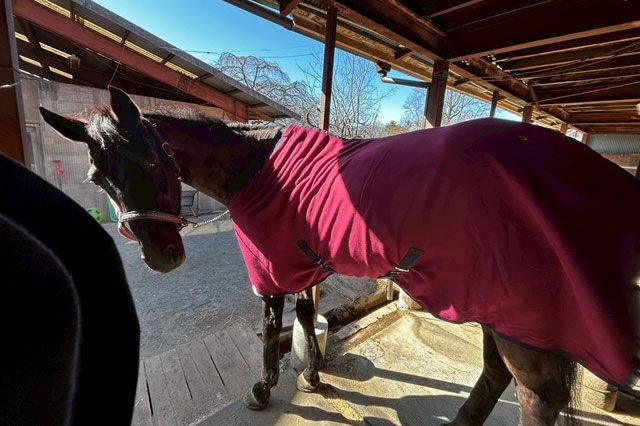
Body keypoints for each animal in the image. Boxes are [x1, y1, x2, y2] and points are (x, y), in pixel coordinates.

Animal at [40, 87, 640, 425]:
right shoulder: (307, 261)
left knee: (535, 397)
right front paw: (312, 375)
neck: (258, 168)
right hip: (500, 308)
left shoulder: (272, 267)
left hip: (521, 320)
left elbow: (272, 326)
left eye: (154, 161)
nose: (161, 257)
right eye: (97, 178)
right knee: (494, 374)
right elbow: (308, 317)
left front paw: (266, 389)